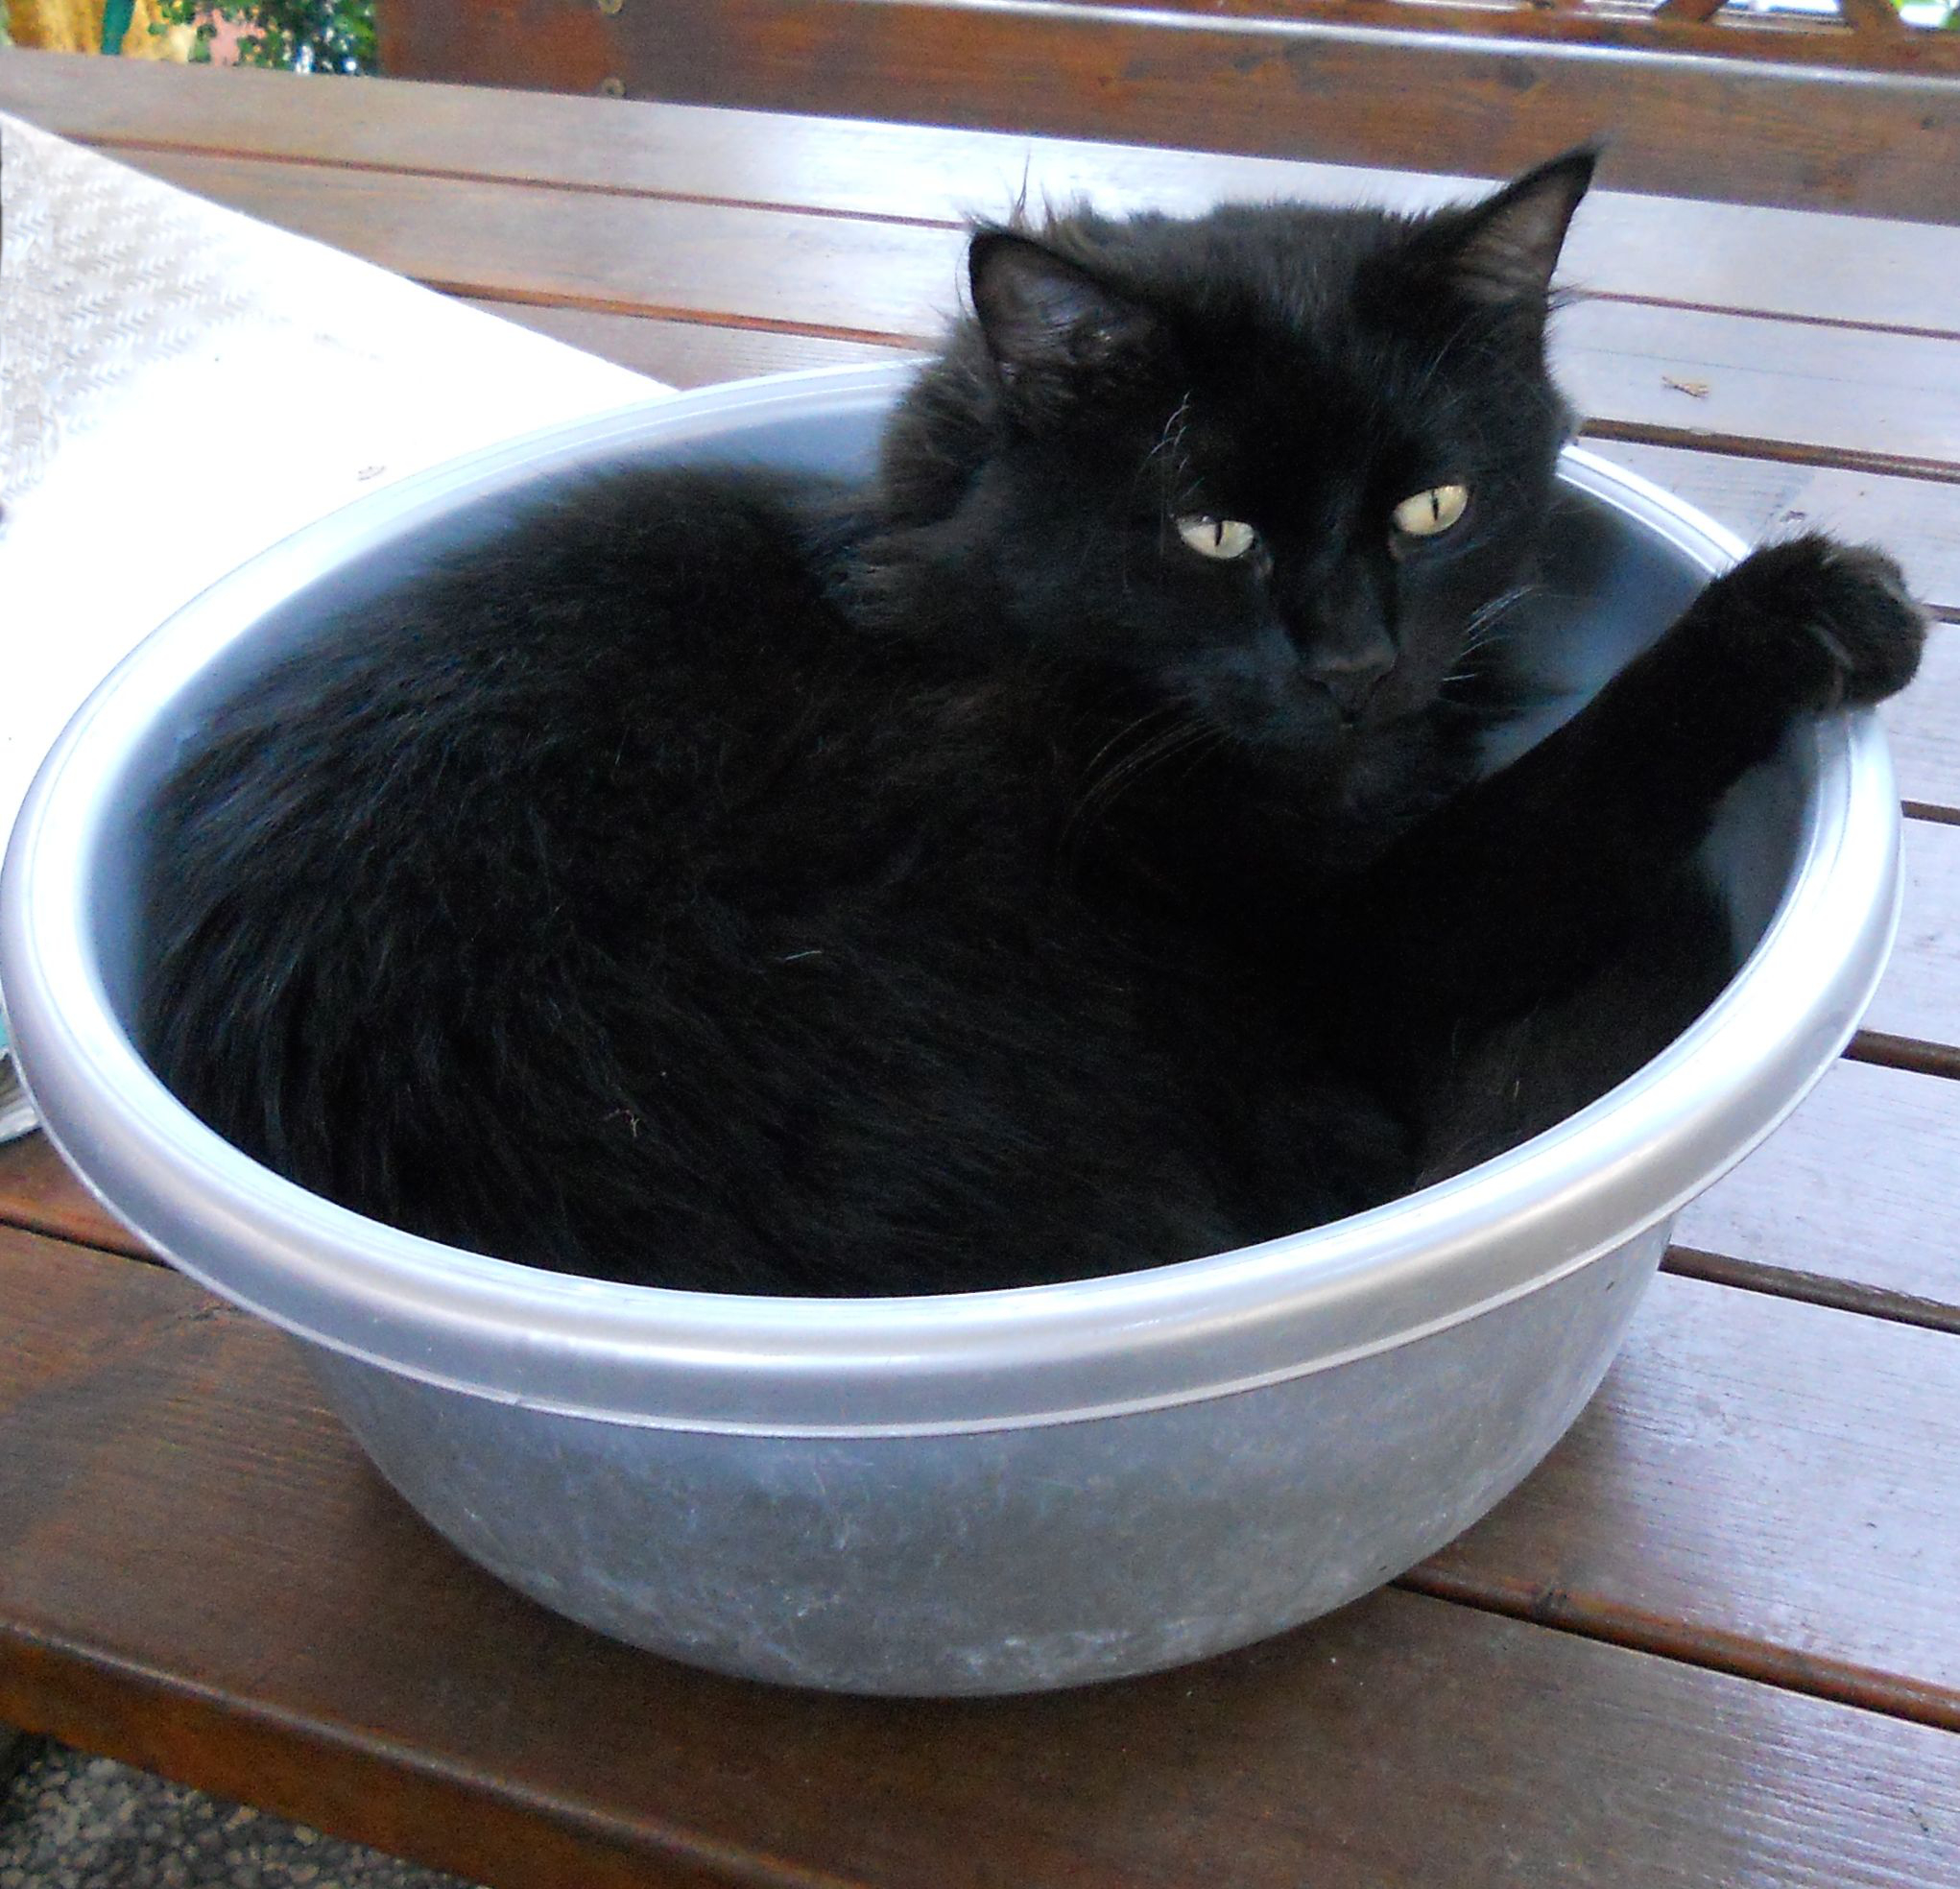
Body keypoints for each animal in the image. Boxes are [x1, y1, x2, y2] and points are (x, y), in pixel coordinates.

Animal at [139, 151, 1926, 1297]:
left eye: (1433, 507)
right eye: (1212, 532)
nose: (1351, 660)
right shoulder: (1343, 942)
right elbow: (1583, 784)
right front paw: (1813, 609)